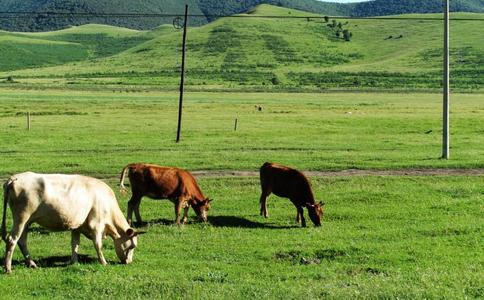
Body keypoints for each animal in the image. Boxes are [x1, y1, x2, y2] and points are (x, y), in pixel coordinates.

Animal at [1, 172, 142, 274]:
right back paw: (8, 268)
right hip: (21, 218)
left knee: (22, 241)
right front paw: (103, 262)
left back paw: (31, 263)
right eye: (131, 246)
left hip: (27, 222)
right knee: (12, 240)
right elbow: (98, 245)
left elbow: (75, 244)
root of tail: (14, 178)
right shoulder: (96, 225)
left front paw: (74, 261)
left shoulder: (77, 226)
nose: (129, 262)